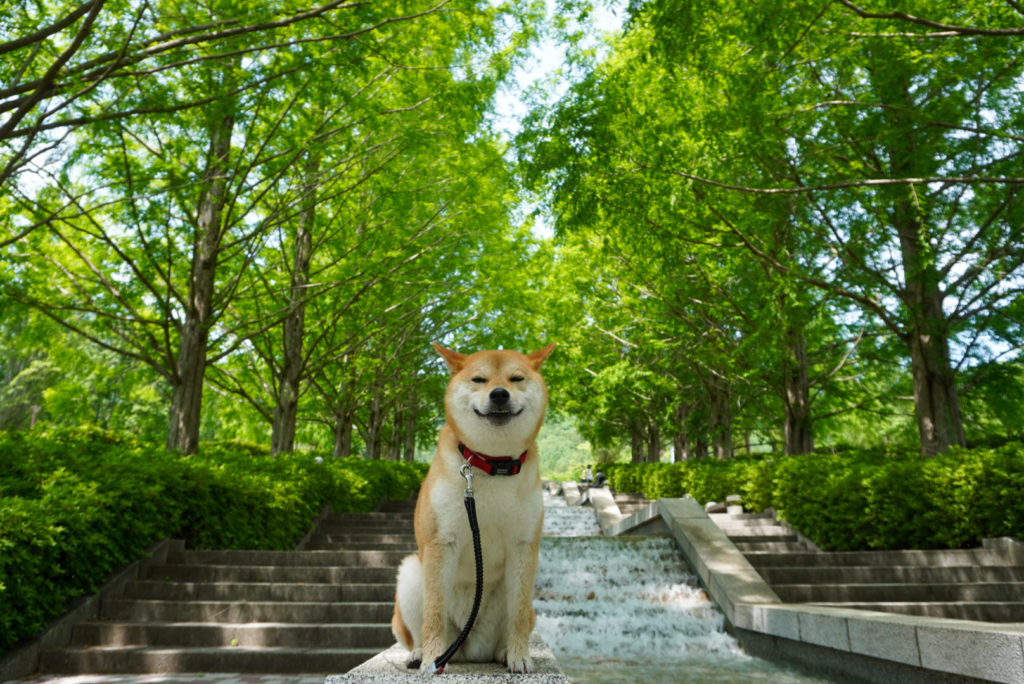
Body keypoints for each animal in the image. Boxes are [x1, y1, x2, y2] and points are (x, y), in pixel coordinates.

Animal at [391, 342, 557, 671]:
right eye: (479, 379)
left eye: (516, 379)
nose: (499, 394)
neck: (491, 463)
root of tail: (471, 651)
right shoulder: (442, 542)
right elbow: (434, 614)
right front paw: (430, 659)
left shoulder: (523, 546)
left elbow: (519, 614)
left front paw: (520, 656)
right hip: (412, 573)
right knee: (420, 627)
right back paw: (423, 654)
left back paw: (504, 652)